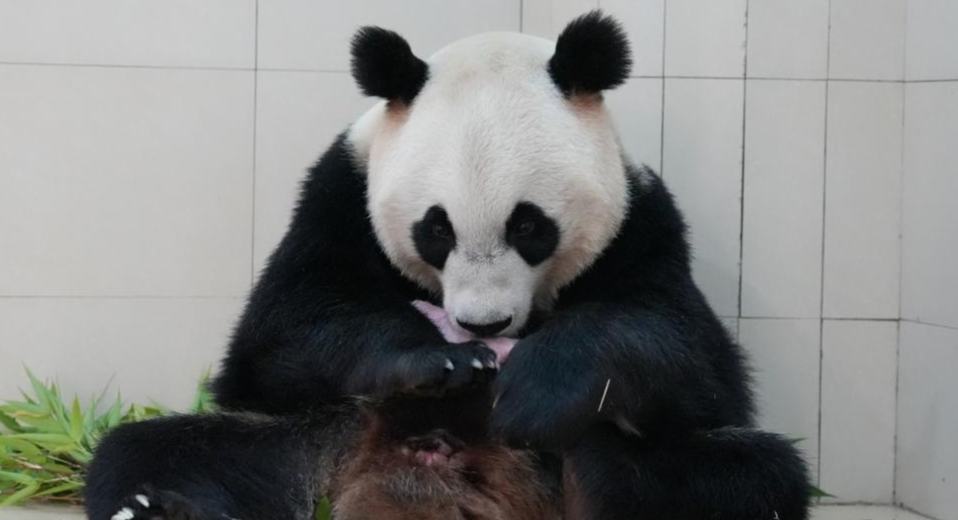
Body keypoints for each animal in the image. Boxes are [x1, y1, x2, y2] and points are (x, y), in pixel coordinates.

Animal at [84, 11, 811, 520]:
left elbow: (685, 356)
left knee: (739, 476)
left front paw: (536, 387)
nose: (482, 326)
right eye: (435, 230)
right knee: (164, 452)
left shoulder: (643, 224)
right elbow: (283, 336)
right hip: (308, 436)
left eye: (530, 227)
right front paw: (437, 359)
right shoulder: (337, 198)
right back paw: (155, 508)